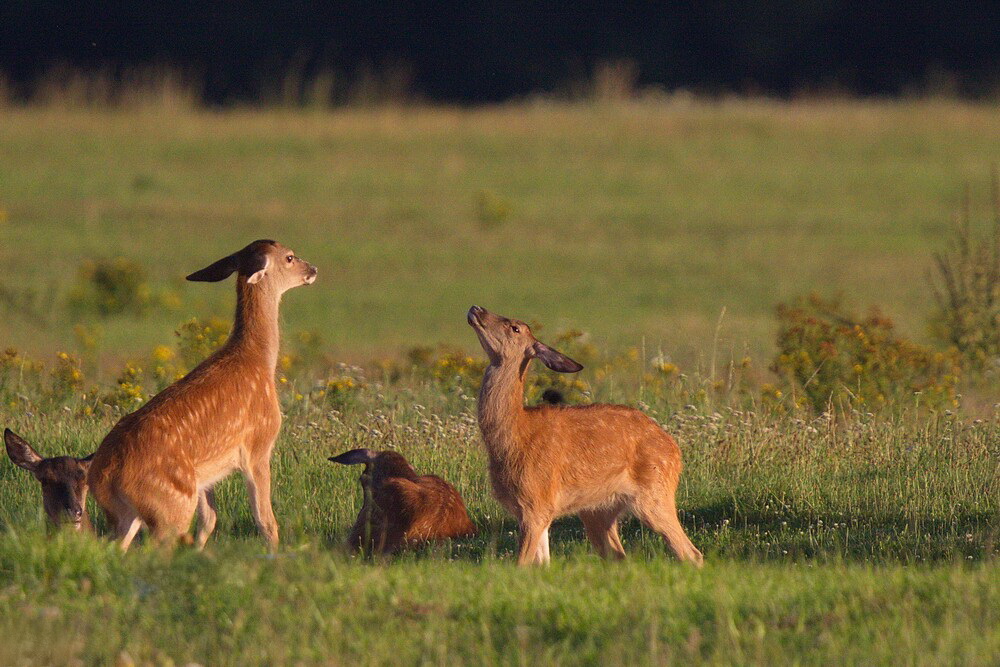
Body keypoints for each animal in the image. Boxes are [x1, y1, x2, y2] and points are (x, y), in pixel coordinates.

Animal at [91, 243, 316, 552]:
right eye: (290, 257)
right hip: (171, 505)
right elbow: (265, 521)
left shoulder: (205, 474)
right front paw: (275, 553)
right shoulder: (258, 444)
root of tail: (103, 475)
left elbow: (209, 519)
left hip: (124, 513)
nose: (313, 269)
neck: (258, 359)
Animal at [468, 306, 704, 568]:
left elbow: (522, 564)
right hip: (598, 509)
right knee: (619, 555)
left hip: (655, 492)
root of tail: (675, 450)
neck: (515, 437)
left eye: (515, 327)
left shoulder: (536, 501)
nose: (477, 309)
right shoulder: (536, 509)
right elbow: (543, 563)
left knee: (690, 552)